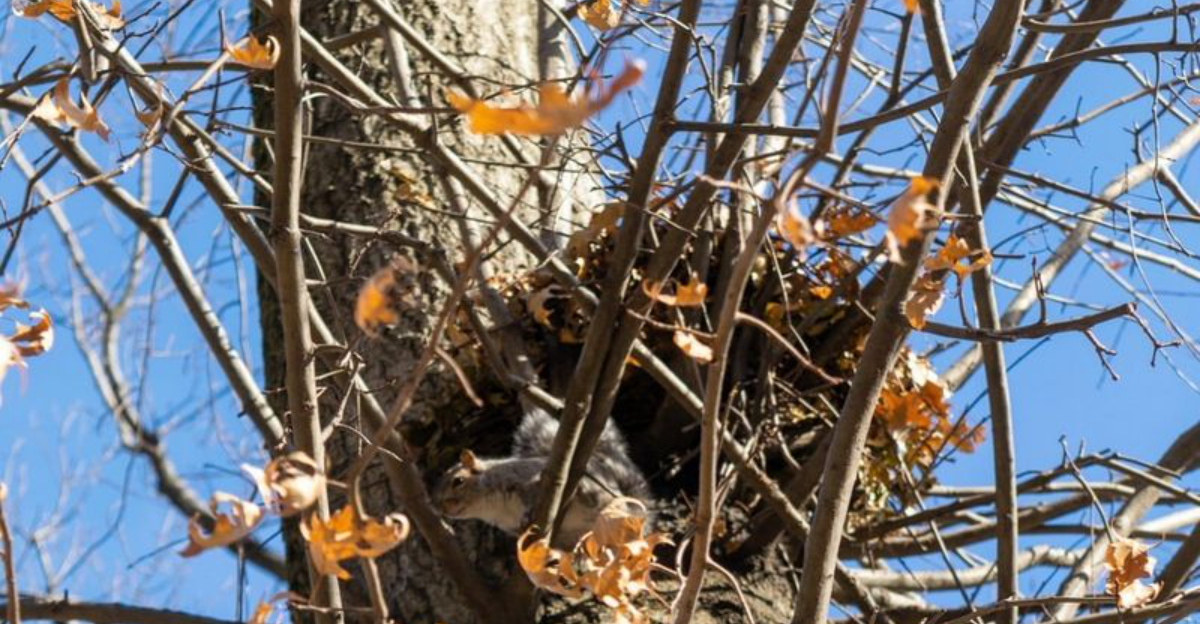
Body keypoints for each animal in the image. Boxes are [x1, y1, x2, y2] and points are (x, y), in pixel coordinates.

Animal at [433, 407, 650, 546]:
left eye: (458, 481)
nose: (440, 508)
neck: (491, 506)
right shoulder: (507, 524)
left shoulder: (523, 478)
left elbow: (533, 493)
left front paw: (528, 514)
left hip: (604, 495)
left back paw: (583, 492)